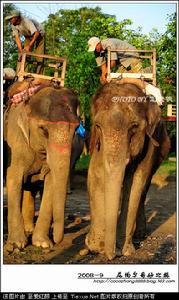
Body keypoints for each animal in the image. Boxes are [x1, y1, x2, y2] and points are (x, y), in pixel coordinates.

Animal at [3, 80, 79, 251]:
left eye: (77, 129)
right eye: (44, 130)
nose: (58, 241)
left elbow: (51, 184)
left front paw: (42, 243)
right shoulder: (15, 142)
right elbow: (13, 181)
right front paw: (17, 244)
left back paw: (29, 229)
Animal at [85, 78, 171, 260]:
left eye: (134, 127)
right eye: (98, 125)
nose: (110, 255)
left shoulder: (150, 142)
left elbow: (136, 181)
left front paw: (125, 250)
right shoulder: (97, 141)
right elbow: (95, 174)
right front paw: (95, 246)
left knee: (144, 188)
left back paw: (140, 234)